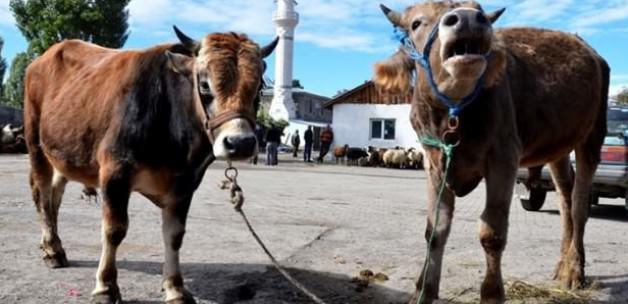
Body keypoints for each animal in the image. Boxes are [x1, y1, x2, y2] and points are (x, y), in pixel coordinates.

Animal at [25, 27, 274, 302]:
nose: (240, 143)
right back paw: (52, 251)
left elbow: (174, 235)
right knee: (42, 195)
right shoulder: (115, 173)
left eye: (259, 88)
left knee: (54, 198)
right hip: (36, 145)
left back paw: (53, 244)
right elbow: (114, 230)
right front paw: (106, 286)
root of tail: (44, 57)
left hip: (63, 155)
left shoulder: (184, 185)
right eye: (204, 84)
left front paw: (175, 287)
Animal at [372, 1, 608, 302]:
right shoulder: (435, 163)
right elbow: (435, 230)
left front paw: (492, 293)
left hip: (593, 135)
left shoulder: (504, 158)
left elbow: (492, 233)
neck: (453, 114)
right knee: (566, 197)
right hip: (558, 148)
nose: (468, 18)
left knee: (579, 204)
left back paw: (575, 270)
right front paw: (423, 289)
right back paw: (561, 265)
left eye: (480, 10)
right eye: (416, 23)